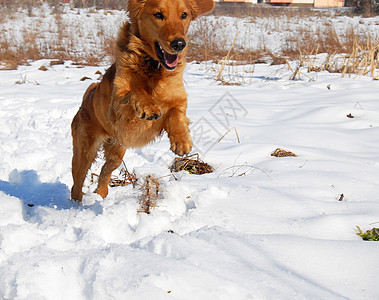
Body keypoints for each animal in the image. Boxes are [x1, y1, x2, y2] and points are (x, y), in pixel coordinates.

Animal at [71, 0, 214, 203]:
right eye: (158, 15)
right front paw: (148, 107)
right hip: (84, 150)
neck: (153, 66)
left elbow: (175, 114)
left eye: (184, 15)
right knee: (76, 183)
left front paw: (181, 140)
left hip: (116, 151)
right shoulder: (116, 111)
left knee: (105, 172)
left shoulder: (178, 101)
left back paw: (100, 194)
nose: (179, 43)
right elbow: (135, 91)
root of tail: (87, 96)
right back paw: (76, 204)